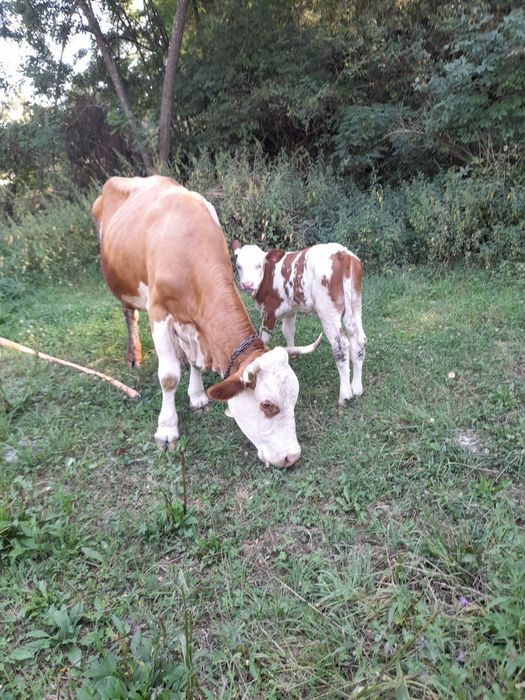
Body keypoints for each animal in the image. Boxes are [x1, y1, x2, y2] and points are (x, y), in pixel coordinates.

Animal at [92, 176, 320, 467]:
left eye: (295, 398)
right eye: (267, 405)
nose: (291, 457)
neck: (188, 246)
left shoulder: (196, 324)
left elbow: (195, 360)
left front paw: (198, 395)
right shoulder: (159, 311)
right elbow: (168, 377)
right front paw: (167, 429)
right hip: (123, 285)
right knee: (129, 315)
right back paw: (134, 355)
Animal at [232, 241, 366, 406]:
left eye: (258, 265)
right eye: (239, 266)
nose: (247, 284)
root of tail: (342, 253)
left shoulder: (269, 311)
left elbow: (264, 338)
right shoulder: (290, 310)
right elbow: (288, 331)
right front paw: (292, 355)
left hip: (328, 310)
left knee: (340, 346)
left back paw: (345, 395)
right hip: (355, 303)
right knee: (359, 340)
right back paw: (357, 387)